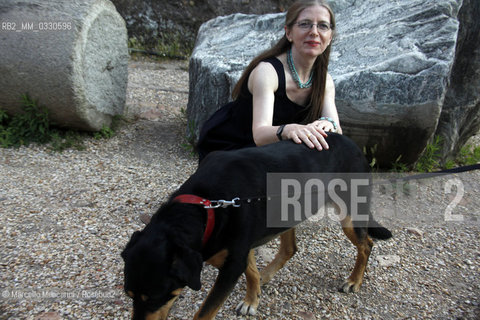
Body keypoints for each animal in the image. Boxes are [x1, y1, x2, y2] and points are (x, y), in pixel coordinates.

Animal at [122, 134, 392, 318]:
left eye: (155, 297)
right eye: (129, 296)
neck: (206, 205)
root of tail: (352, 143)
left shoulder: (232, 264)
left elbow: (205, 311)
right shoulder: (238, 250)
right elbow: (250, 271)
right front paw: (253, 298)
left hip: (350, 214)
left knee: (367, 244)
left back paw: (354, 281)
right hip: (285, 213)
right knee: (290, 249)